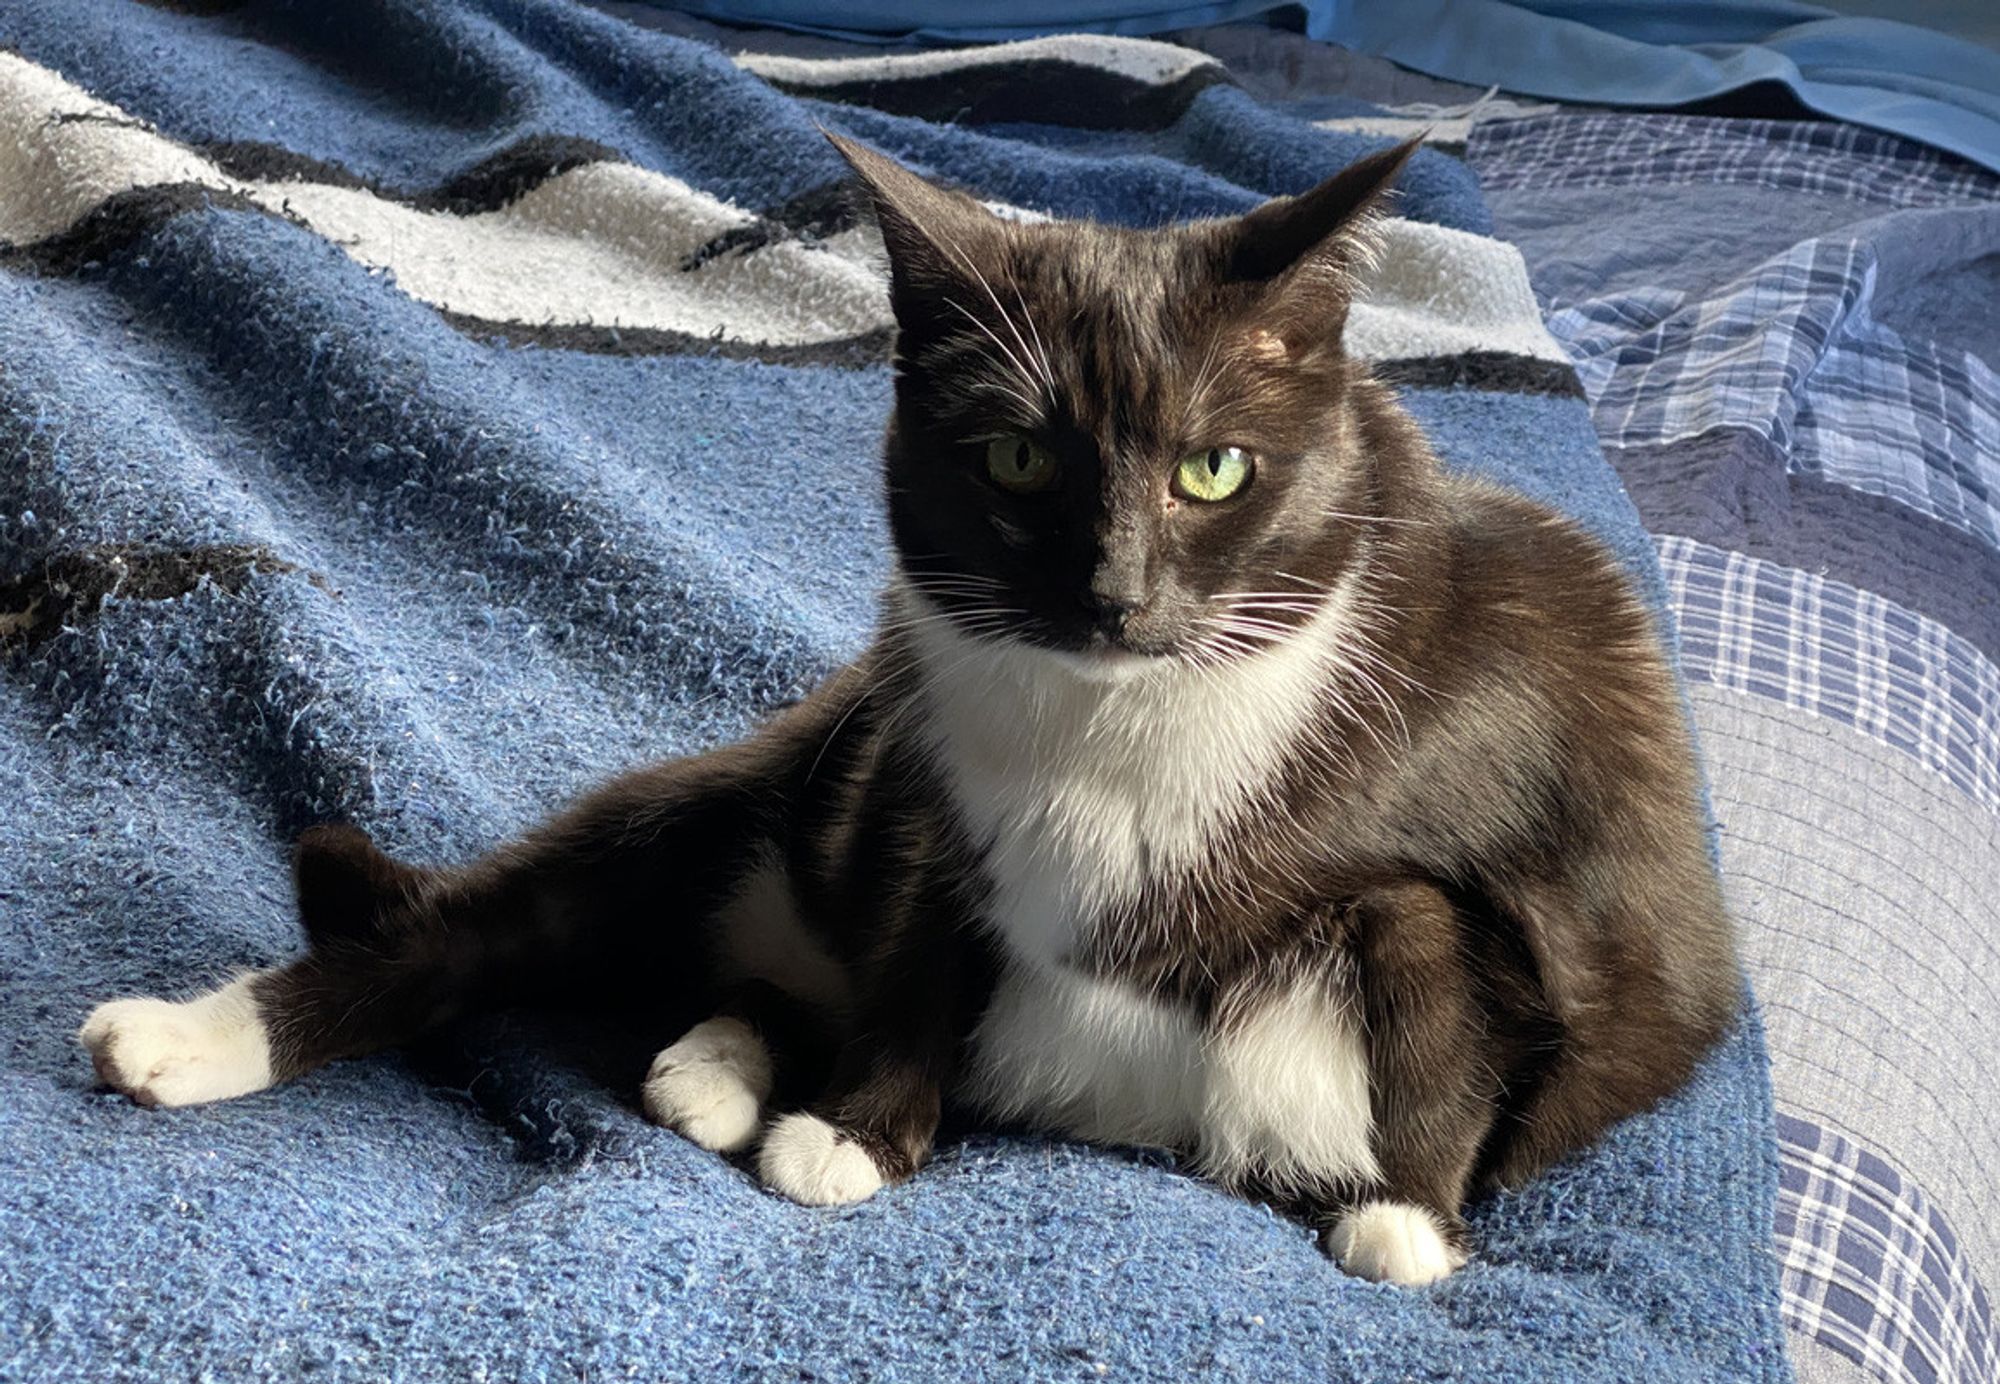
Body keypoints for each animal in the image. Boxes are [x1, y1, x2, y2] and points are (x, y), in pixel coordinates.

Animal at [74, 135, 1736, 1296]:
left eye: (1215, 469)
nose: (1116, 592)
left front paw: (1411, 1220)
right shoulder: (924, 776)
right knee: (494, 926)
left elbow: (1454, 994)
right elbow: (923, 939)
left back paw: (715, 1065)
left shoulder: (1518, 842)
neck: (1114, 723)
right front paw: (859, 1129)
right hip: (767, 777)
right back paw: (195, 1040)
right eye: (1015, 460)